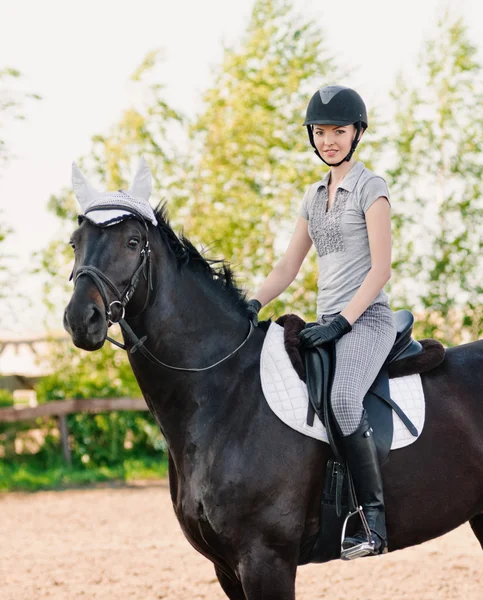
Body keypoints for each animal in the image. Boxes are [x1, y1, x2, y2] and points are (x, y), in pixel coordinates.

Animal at [65, 205, 483, 596]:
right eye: (75, 242)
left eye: (133, 242)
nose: (81, 319)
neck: (225, 390)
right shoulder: (226, 569)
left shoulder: (265, 560)